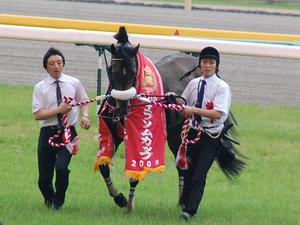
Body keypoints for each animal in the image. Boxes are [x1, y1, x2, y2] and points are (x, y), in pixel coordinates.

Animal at [95, 27, 244, 212]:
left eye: (133, 72)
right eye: (112, 70)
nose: (122, 108)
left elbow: (137, 169)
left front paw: (129, 203)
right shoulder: (113, 132)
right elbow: (103, 166)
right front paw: (119, 198)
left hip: (179, 132)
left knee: (183, 165)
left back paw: (182, 201)